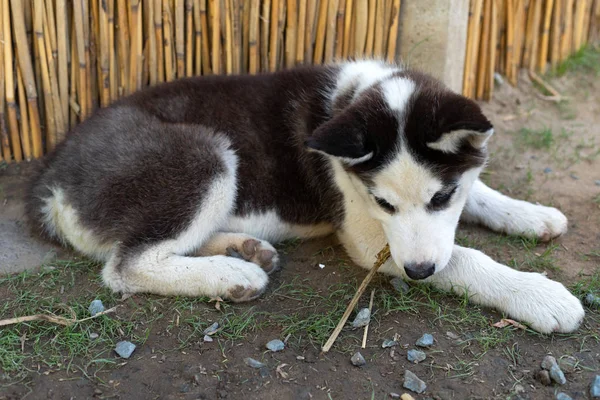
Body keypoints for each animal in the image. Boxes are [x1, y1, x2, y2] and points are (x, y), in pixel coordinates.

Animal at [25, 59, 584, 334]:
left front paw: (530, 214)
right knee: (125, 266)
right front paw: (540, 296)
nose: (419, 272)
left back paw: (243, 250)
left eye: (442, 196)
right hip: (203, 154)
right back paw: (232, 275)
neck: (357, 95)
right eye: (384, 205)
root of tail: (52, 177)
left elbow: (480, 192)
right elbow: (464, 258)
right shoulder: (369, 239)